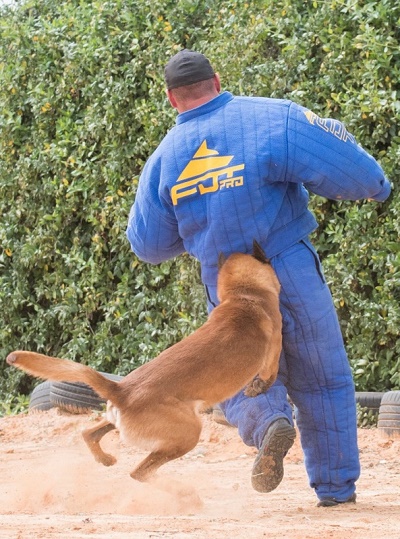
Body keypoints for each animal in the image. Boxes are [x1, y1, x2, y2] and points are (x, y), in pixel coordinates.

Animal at [6, 243, 282, 484]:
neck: (243, 295)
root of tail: (121, 390)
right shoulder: (274, 348)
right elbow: (269, 374)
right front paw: (258, 386)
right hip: (188, 432)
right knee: (138, 472)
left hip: (120, 420)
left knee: (89, 434)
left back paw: (105, 459)